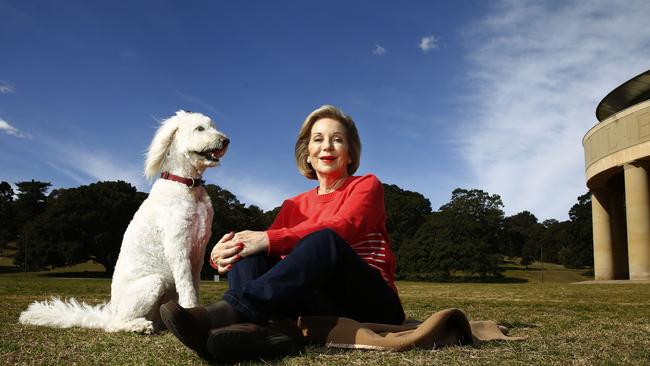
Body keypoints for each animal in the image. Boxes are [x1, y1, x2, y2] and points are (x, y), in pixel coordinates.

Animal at [18, 110, 228, 334]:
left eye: (213, 126)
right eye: (200, 128)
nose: (226, 141)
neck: (186, 184)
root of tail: (109, 314)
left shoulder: (197, 253)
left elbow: (194, 287)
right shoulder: (178, 248)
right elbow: (187, 289)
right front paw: (191, 315)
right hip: (155, 281)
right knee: (116, 324)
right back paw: (138, 325)